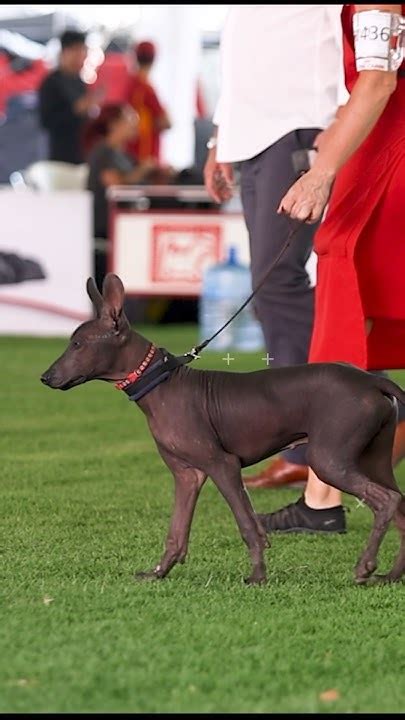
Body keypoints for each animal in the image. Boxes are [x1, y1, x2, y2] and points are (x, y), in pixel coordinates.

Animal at [40, 274, 404, 584]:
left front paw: (257, 576)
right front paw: (159, 573)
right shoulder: (187, 476)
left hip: (329, 459)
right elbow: (176, 532)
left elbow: (248, 525)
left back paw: (365, 567)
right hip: (373, 458)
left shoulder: (223, 466)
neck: (162, 382)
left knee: (386, 502)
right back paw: (392, 575)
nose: (45, 377)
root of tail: (371, 381)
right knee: (400, 504)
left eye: (78, 344)